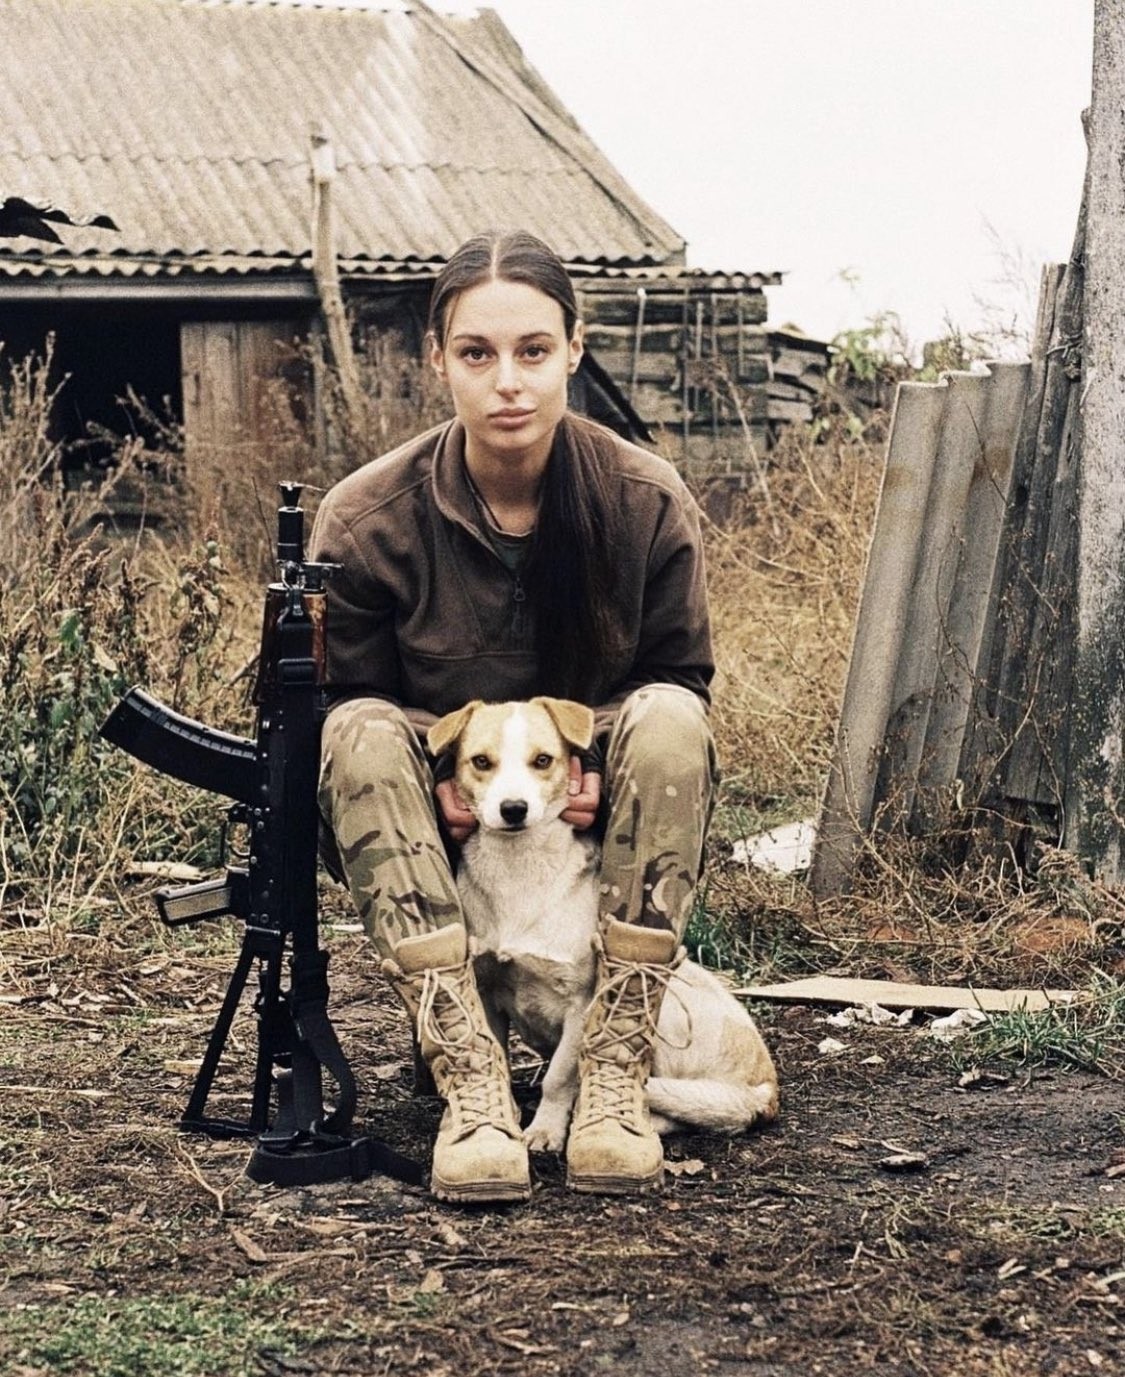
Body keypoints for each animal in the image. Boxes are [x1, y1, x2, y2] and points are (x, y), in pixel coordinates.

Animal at [427, 696, 779, 1153]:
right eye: (481, 762)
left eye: (543, 760)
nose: (514, 809)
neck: (519, 871)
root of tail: (766, 1089)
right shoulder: (484, 994)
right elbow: (495, 1061)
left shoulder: (581, 1003)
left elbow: (559, 1078)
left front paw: (546, 1129)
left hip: (661, 1006)